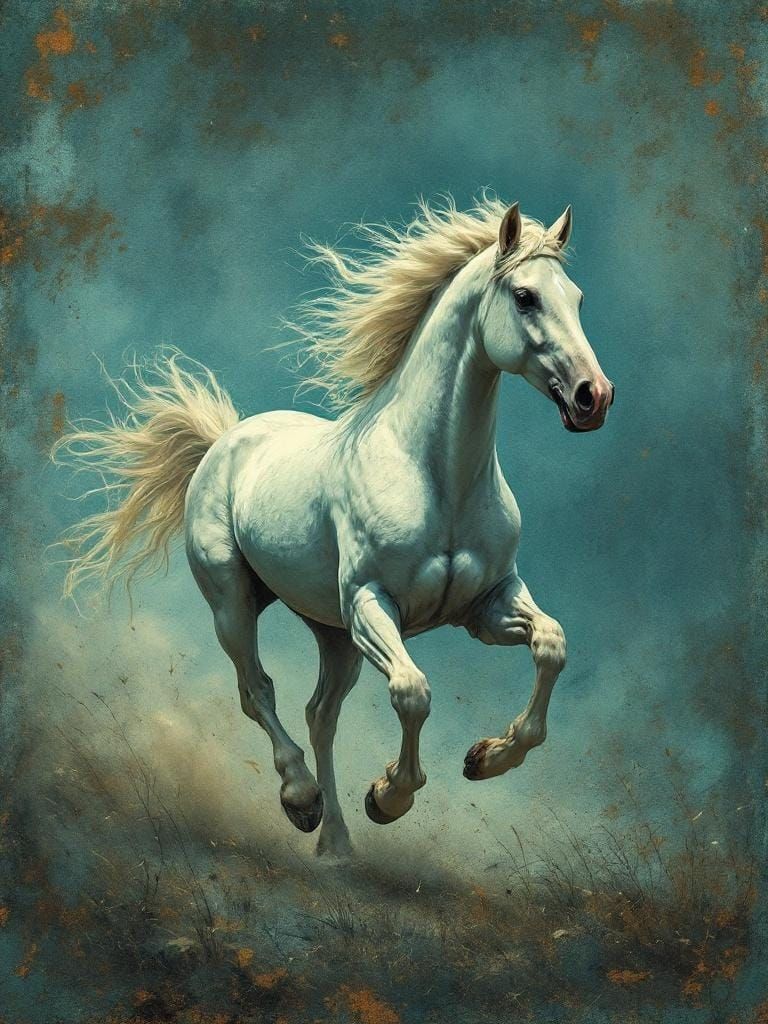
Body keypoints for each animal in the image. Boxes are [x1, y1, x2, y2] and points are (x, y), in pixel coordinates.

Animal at [55, 195, 614, 859]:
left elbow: (551, 645)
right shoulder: (373, 604)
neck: (436, 476)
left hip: (335, 634)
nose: (593, 396)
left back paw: (337, 846)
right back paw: (302, 801)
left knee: (320, 714)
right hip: (235, 603)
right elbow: (412, 692)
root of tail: (223, 440)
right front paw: (389, 796)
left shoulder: (488, 604)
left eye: (576, 297)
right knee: (258, 691)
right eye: (525, 296)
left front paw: (485, 758)